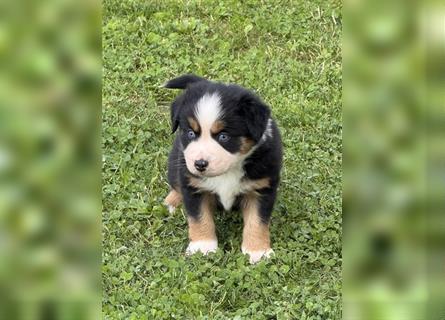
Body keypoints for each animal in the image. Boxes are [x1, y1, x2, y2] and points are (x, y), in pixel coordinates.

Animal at [162, 74, 280, 262]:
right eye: (191, 133)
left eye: (224, 136)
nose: (200, 164)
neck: (228, 171)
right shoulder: (194, 186)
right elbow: (199, 218)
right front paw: (202, 247)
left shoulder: (261, 189)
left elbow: (257, 221)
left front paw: (257, 251)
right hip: (177, 162)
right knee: (176, 183)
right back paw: (171, 202)